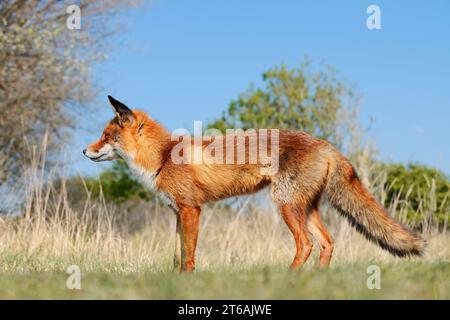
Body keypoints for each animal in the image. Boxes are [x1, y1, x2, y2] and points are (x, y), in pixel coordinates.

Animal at [83, 95, 426, 272]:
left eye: (106, 136)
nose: (84, 151)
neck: (164, 156)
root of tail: (325, 144)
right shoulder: (178, 213)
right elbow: (178, 255)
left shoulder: (191, 210)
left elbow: (189, 256)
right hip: (306, 208)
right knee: (327, 244)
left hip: (286, 205)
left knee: (306, 244)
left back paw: (289, 281)